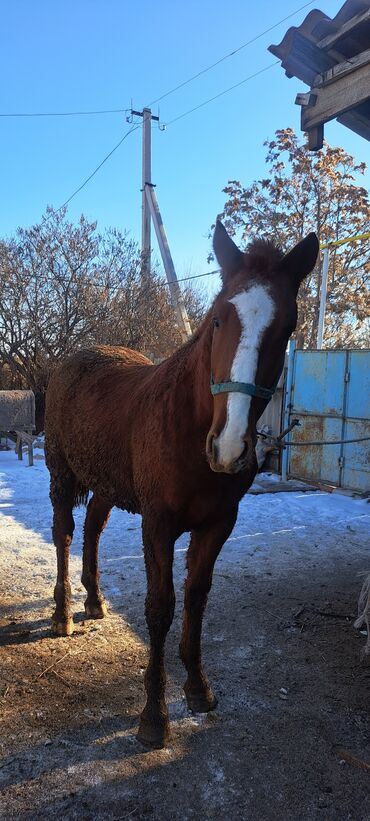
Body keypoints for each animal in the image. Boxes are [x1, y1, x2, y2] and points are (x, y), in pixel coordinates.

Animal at [44, 221, 318, 748]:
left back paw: (94, 600)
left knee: (91, 532)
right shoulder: (159, 524)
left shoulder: (219, 524)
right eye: (218, 320)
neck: (188, 427)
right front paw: (154, 716)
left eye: (287, 328)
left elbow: (196, 597)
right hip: (61, 475)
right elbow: (161, 608)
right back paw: (63, 614)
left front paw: (198, 688)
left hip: (107, 486)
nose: (229, 447)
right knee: (64, 534)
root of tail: (75, 359)